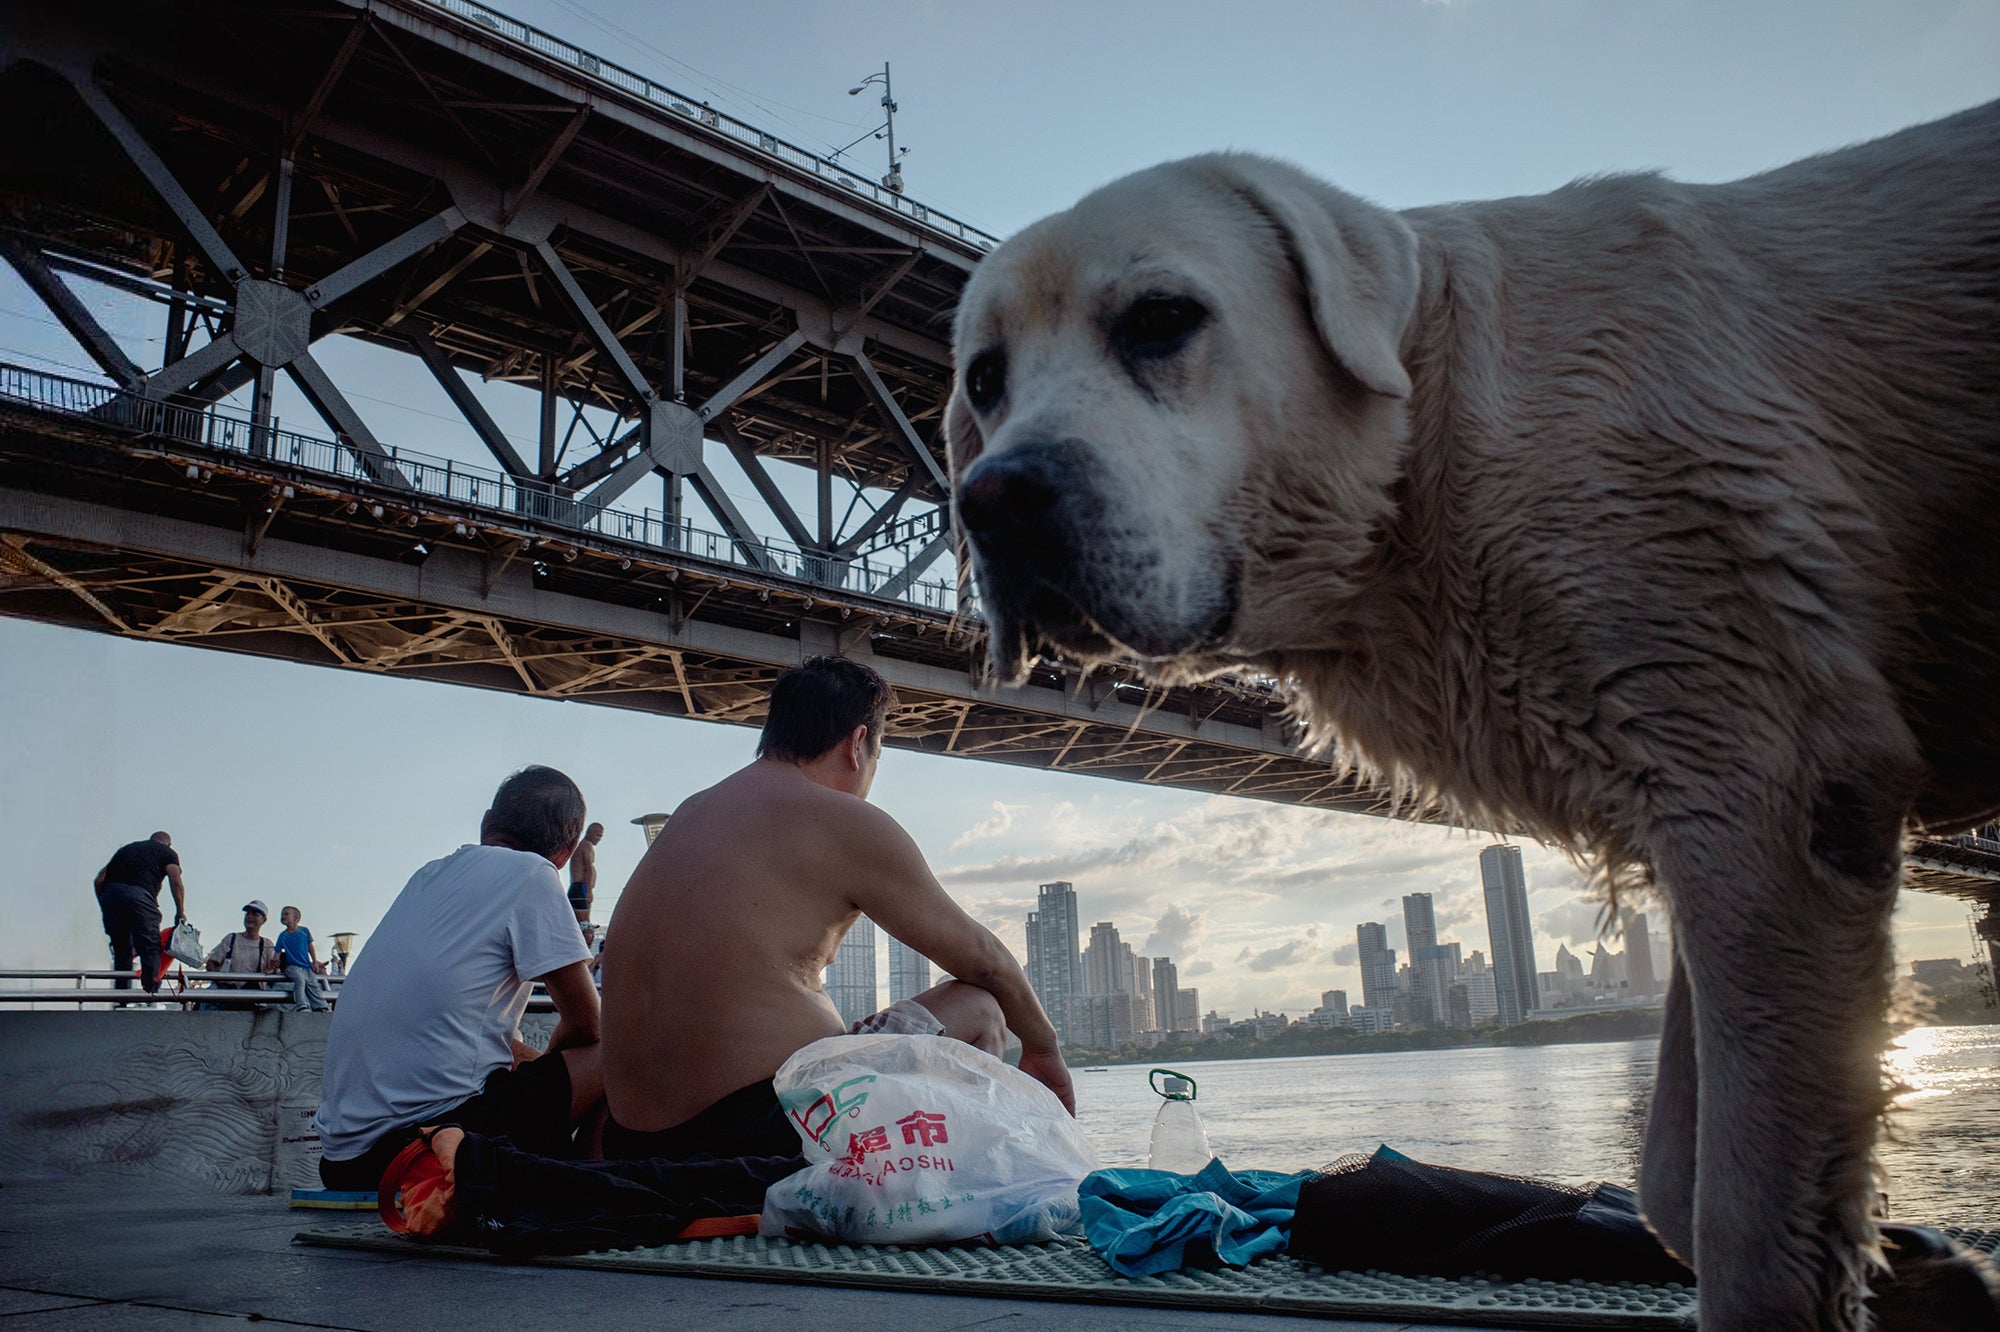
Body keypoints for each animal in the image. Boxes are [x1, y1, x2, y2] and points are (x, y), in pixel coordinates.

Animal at [948, 98, 2000, 1320]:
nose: (992, 499)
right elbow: (1675, 1181)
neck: (1424, 458)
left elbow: (1739, 1211)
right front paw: (1900, 1261)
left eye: (1161, 318)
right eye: (984, 379)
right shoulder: (1722, 804)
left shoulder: (1767, 799)